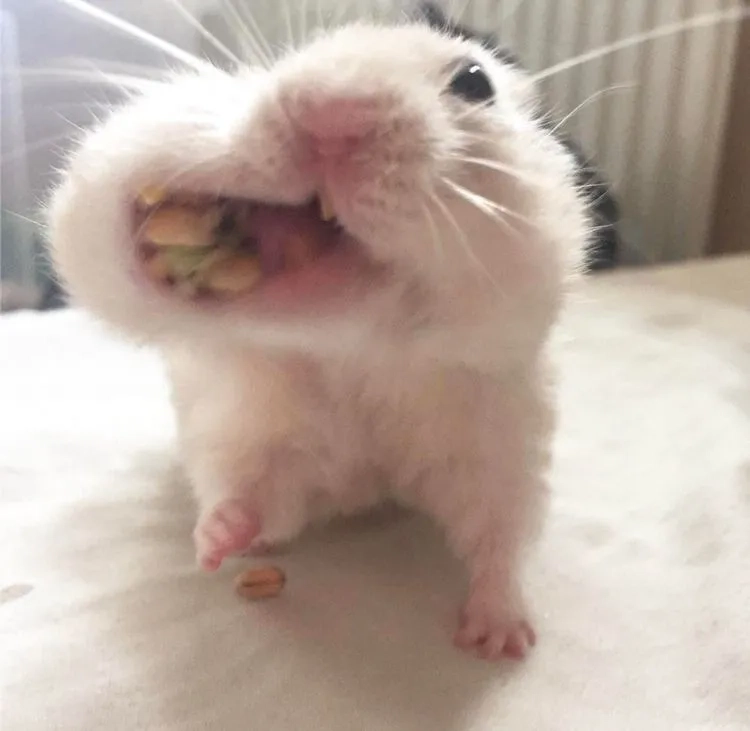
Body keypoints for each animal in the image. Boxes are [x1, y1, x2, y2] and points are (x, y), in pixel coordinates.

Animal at [46, 8, 591, 661]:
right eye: (293, 58)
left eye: (474, 82)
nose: (328, 114)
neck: (353, 353)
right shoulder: (253, 437)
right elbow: (252, 494)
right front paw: (216, 545)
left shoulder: (501, 443)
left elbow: (501, 536)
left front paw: (498, 642)